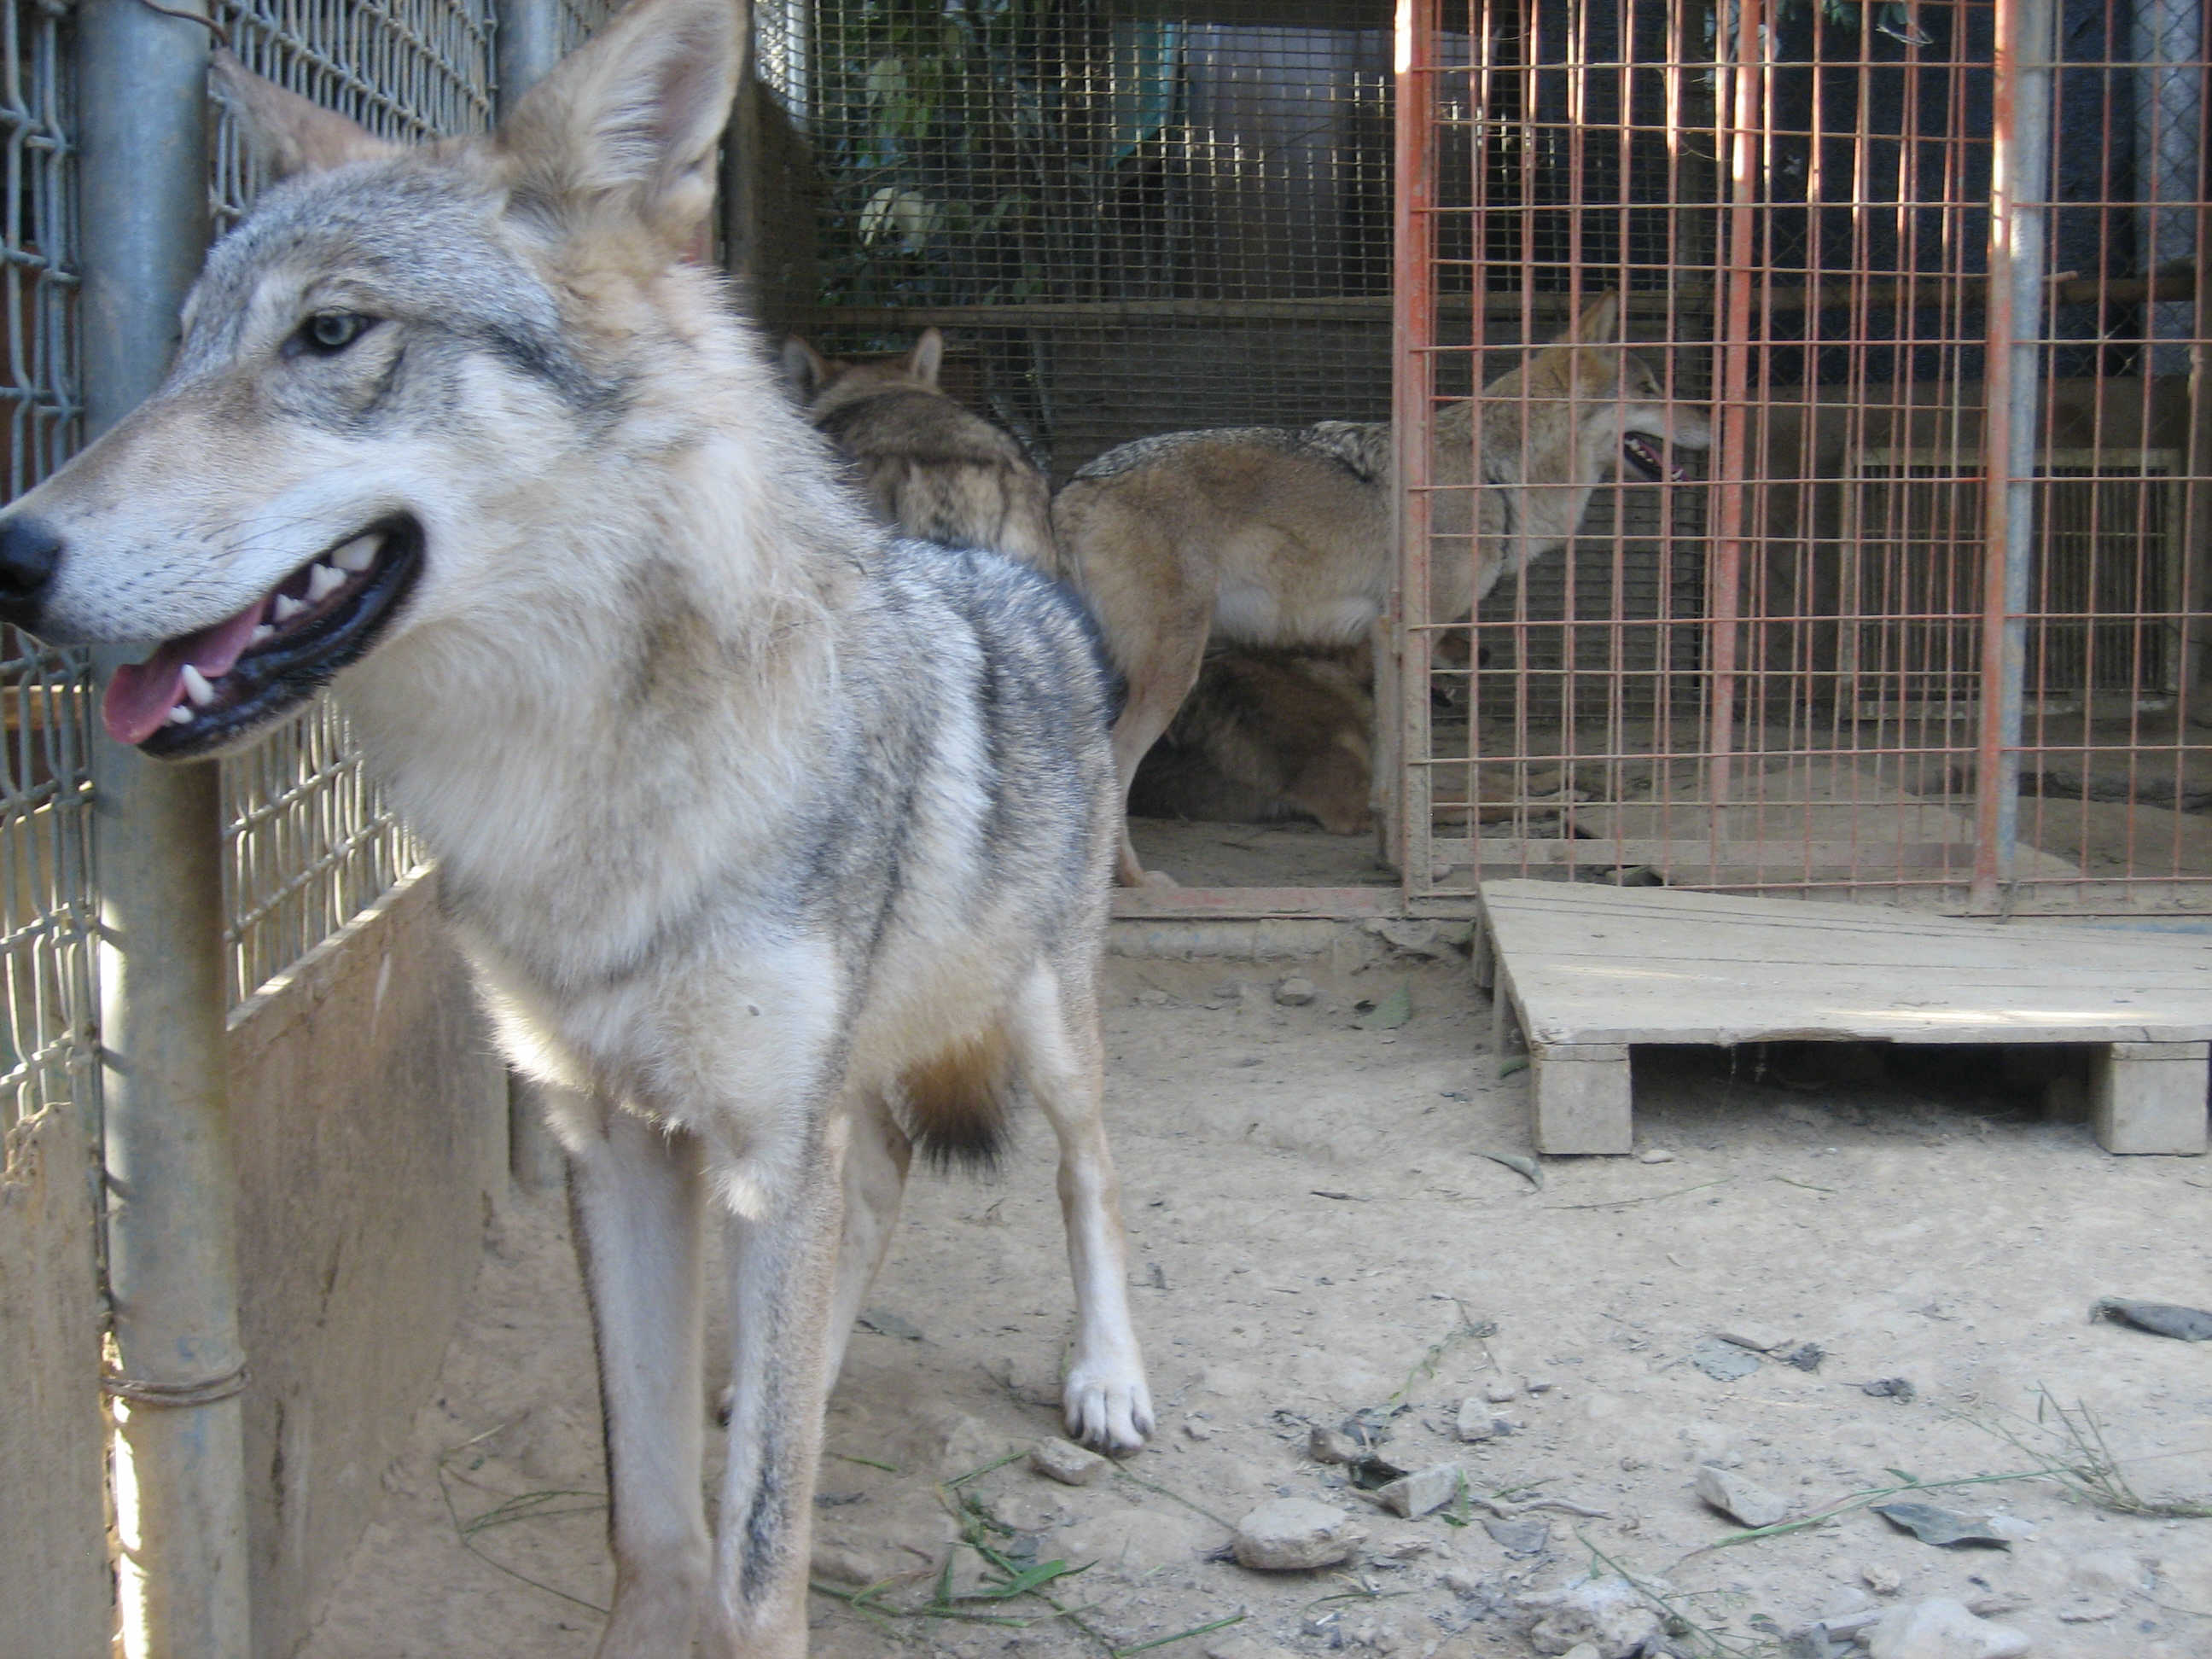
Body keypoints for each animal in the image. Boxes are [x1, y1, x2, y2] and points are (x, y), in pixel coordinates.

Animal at [1052, 295, 1712, 885]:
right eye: (1651, 388)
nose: (1714, 420)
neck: (1492, 473)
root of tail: (1075, 487)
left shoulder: (1383, 641)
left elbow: (1390, 780)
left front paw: (1390, 864)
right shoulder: (1408, 636)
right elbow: (1411, 777)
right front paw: (1411, 867)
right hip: (1170, 672)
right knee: (1111, 765)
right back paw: (1135, 882)